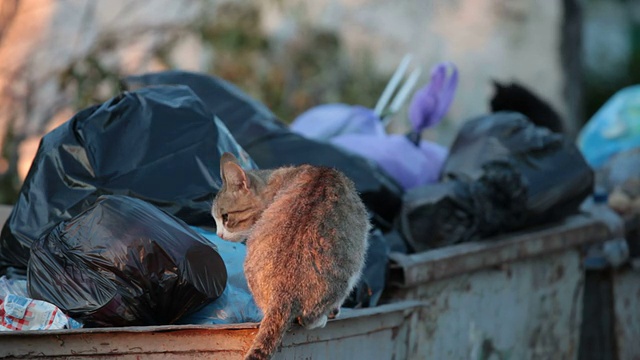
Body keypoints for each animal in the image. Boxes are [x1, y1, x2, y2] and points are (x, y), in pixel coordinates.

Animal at [211, 153, 370, 360]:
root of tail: (283, 295)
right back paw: (323, 318)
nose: (218, 235)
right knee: (308, 319)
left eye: (226, 217)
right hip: (352, 265)